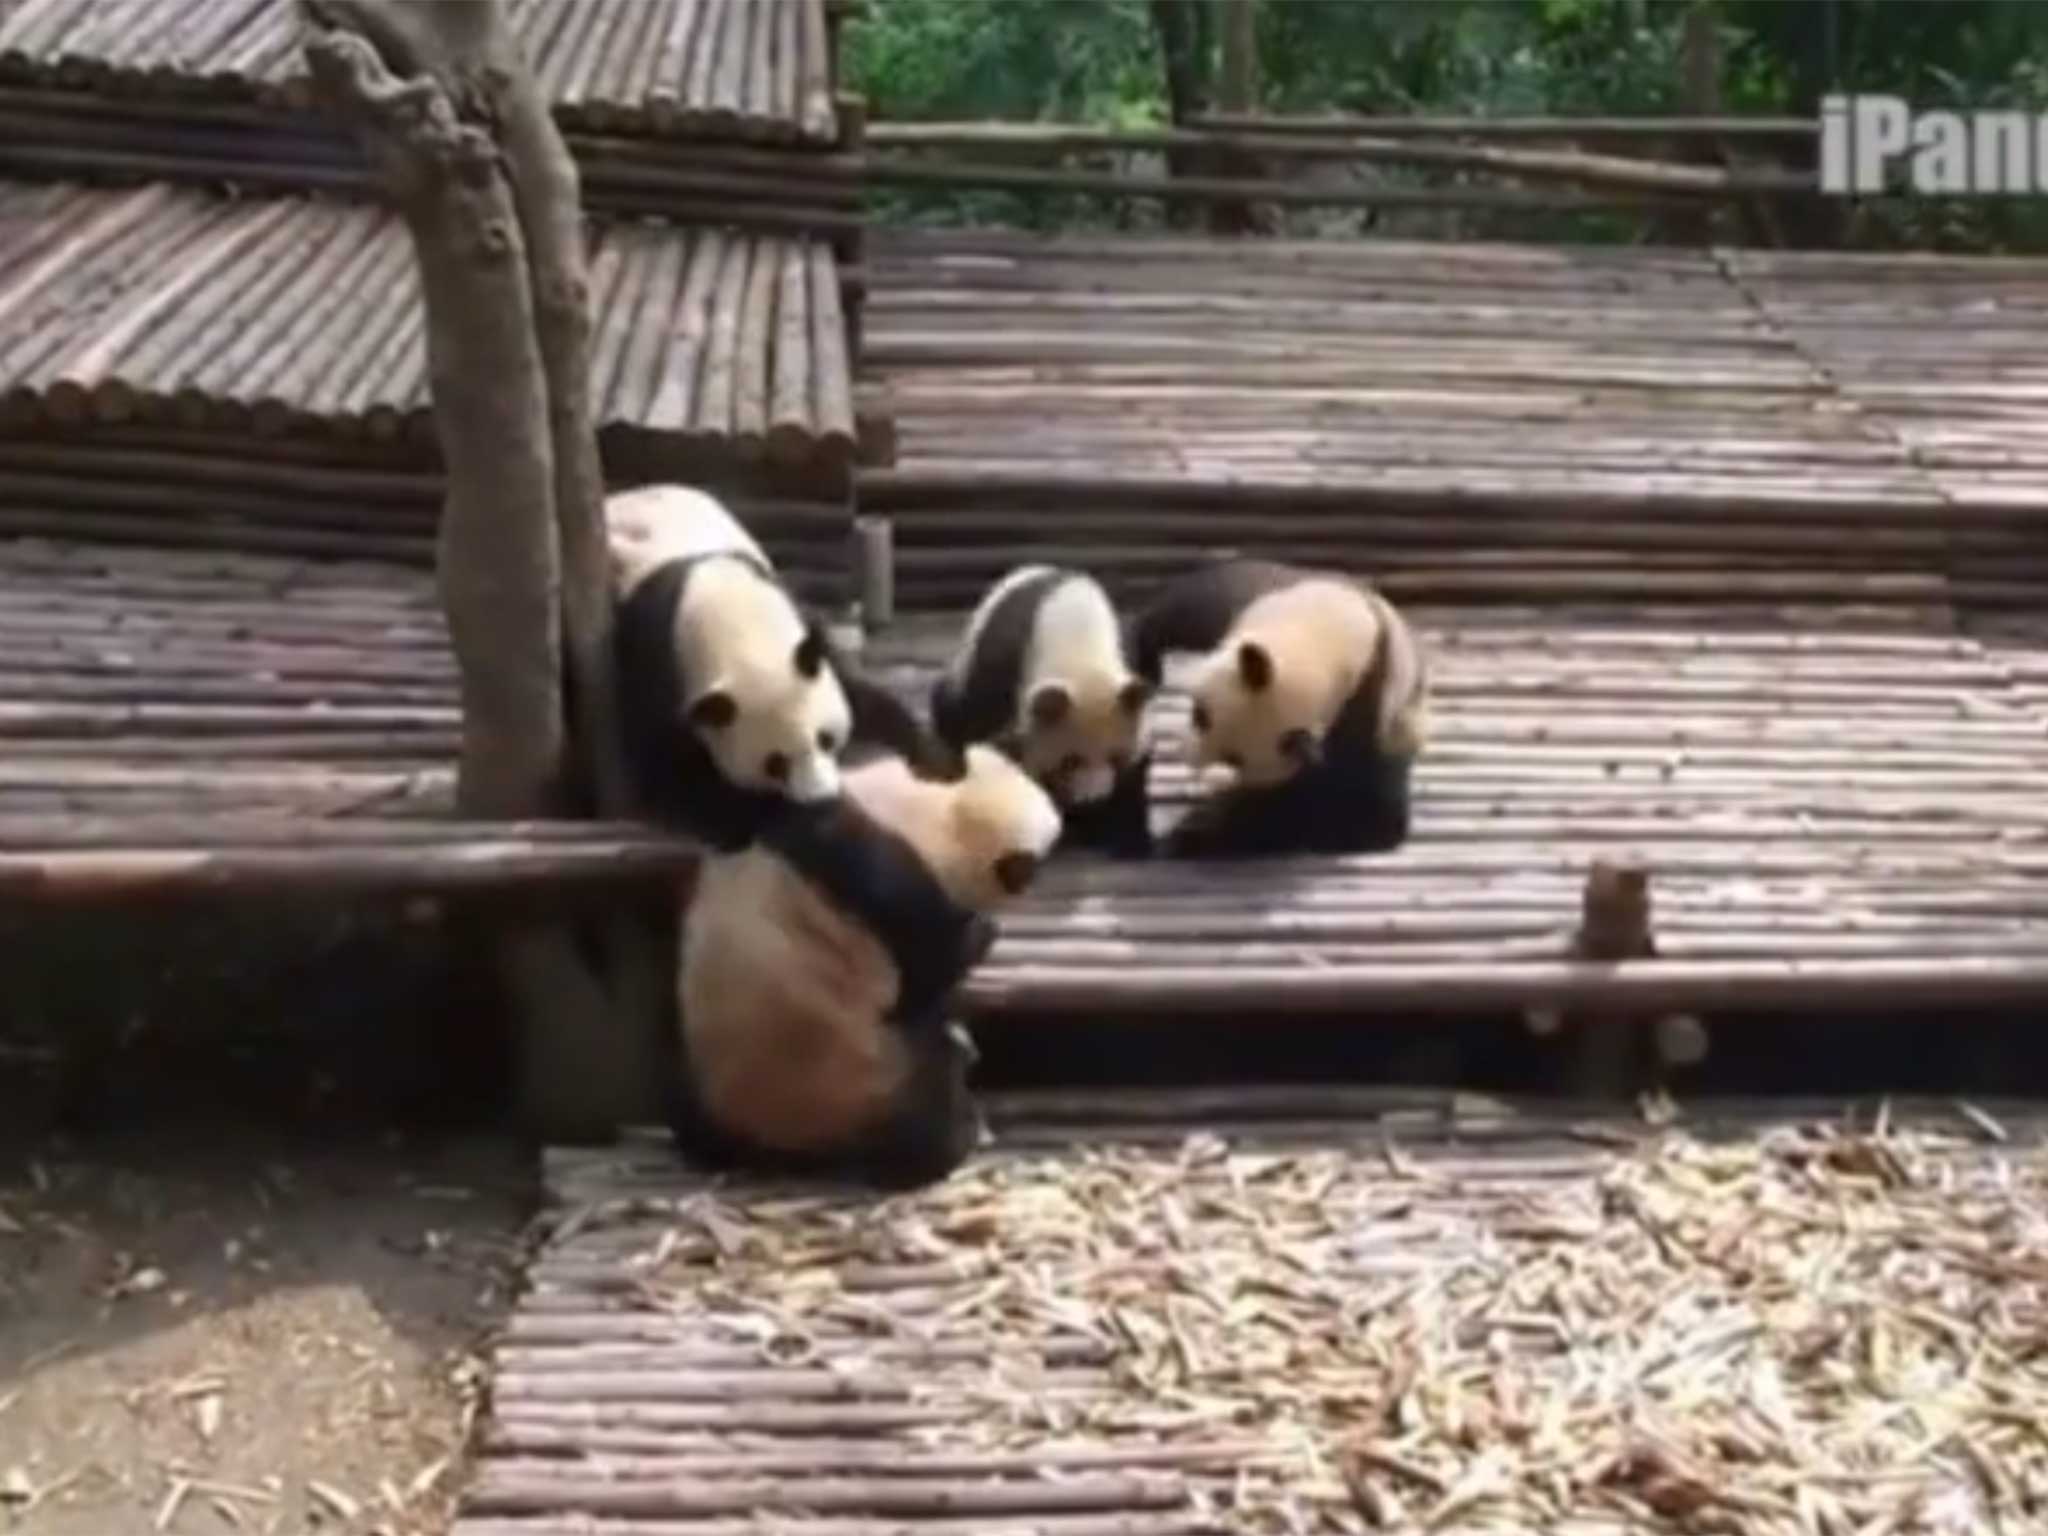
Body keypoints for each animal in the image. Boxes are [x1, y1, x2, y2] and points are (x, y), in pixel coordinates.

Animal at [937, 565, 1163, 860]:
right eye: (1070, 760)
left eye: (1116, 757)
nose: (1093, 801)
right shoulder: (1004, 676)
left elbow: (1136, 770)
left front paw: (1129, 838)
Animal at [1130, 561, 1433, 860]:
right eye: (1200, 714)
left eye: (1234, 759)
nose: (1188, 758)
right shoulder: (1266, 597)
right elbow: (1193, 605)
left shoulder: (1360, 716)